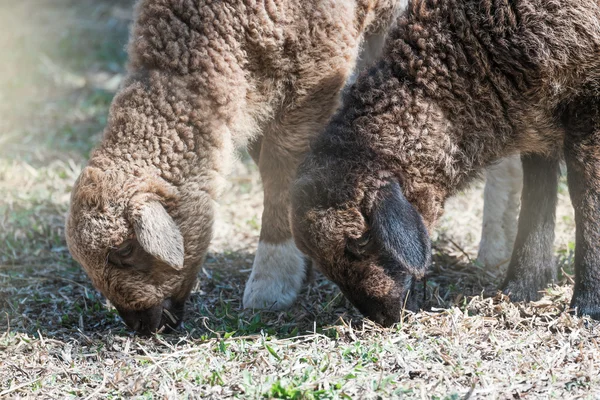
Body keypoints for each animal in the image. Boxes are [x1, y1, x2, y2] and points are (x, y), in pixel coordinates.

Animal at [292, 0, 600, 326]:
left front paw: (588, 305)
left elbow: (586, 199)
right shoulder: (538, 125)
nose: (384, 317)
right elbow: (536, 201)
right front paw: (520, 289)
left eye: (361, 241)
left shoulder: (587, 99)